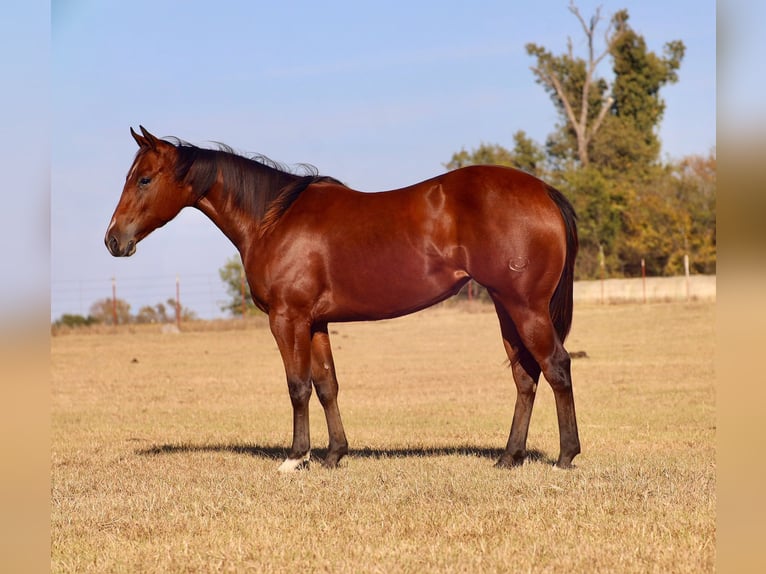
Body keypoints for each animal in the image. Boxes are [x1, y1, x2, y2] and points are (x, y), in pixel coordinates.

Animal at [103, 128, 584, 474]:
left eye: (144, 179)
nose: (113, 240)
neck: (273, 219)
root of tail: (544, 191)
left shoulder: (288, 319)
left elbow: (297, 386)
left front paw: (296, 457)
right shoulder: (315, 322)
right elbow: (326, 385)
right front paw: (335, 454)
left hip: (525, 307)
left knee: (556, 367)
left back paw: (565, 457)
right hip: (506, 308)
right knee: (525, 377)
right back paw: (509, 457)